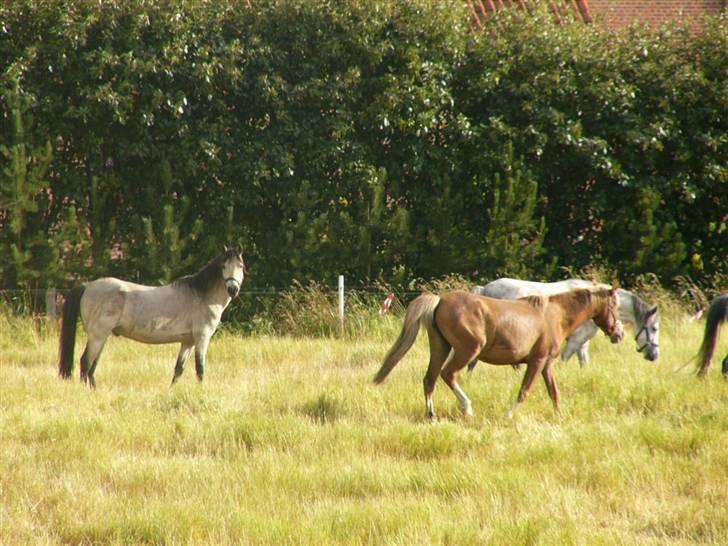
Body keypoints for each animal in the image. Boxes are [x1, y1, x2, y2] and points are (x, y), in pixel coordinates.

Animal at [58, 246, 246, 387]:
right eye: (223, 267)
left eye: (241, 266)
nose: (233, 289)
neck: (202, 296)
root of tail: (87, 286)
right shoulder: (202, 337)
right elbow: (200, 368)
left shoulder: (188, 342)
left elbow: (179, 369)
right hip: (97, 336)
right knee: (86, 362)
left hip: (101, 337)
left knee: (92, 367)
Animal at [374, 287, 624, 420]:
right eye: (614, 306)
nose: (619, 334)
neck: (556, 315)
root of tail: (440, 301)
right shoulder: (537, 361)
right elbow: (525, 391)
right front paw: (509, 415)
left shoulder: (547, 364)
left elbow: (554, 392)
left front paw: (560, 416)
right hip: (467, 350)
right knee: (448, 374)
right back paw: (467, 408)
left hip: (440, 347)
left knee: (430, 379)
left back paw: (432, 416)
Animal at [471, 278, 659, 366]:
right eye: (654, 328)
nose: (654, 356)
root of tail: (484, 288)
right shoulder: (574, 342)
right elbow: (563, 361)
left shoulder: (582, 344)